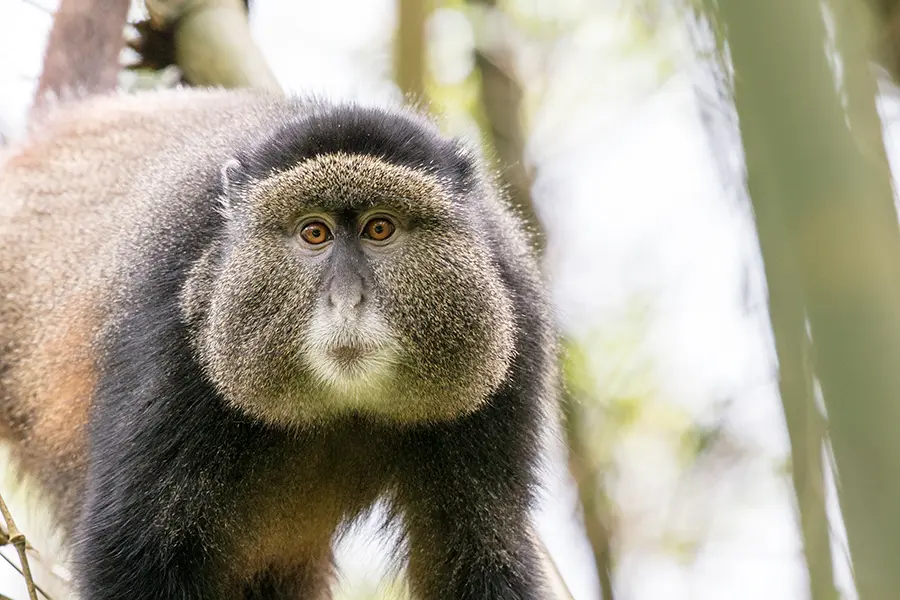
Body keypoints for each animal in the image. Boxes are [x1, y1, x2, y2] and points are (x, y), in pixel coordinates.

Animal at [0, 87, 559, 600]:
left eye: (380, 228)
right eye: (315, 233)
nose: (346, 300)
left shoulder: (512, 333)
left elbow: (478, 555)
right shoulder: (173, 330)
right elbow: (137, 554)